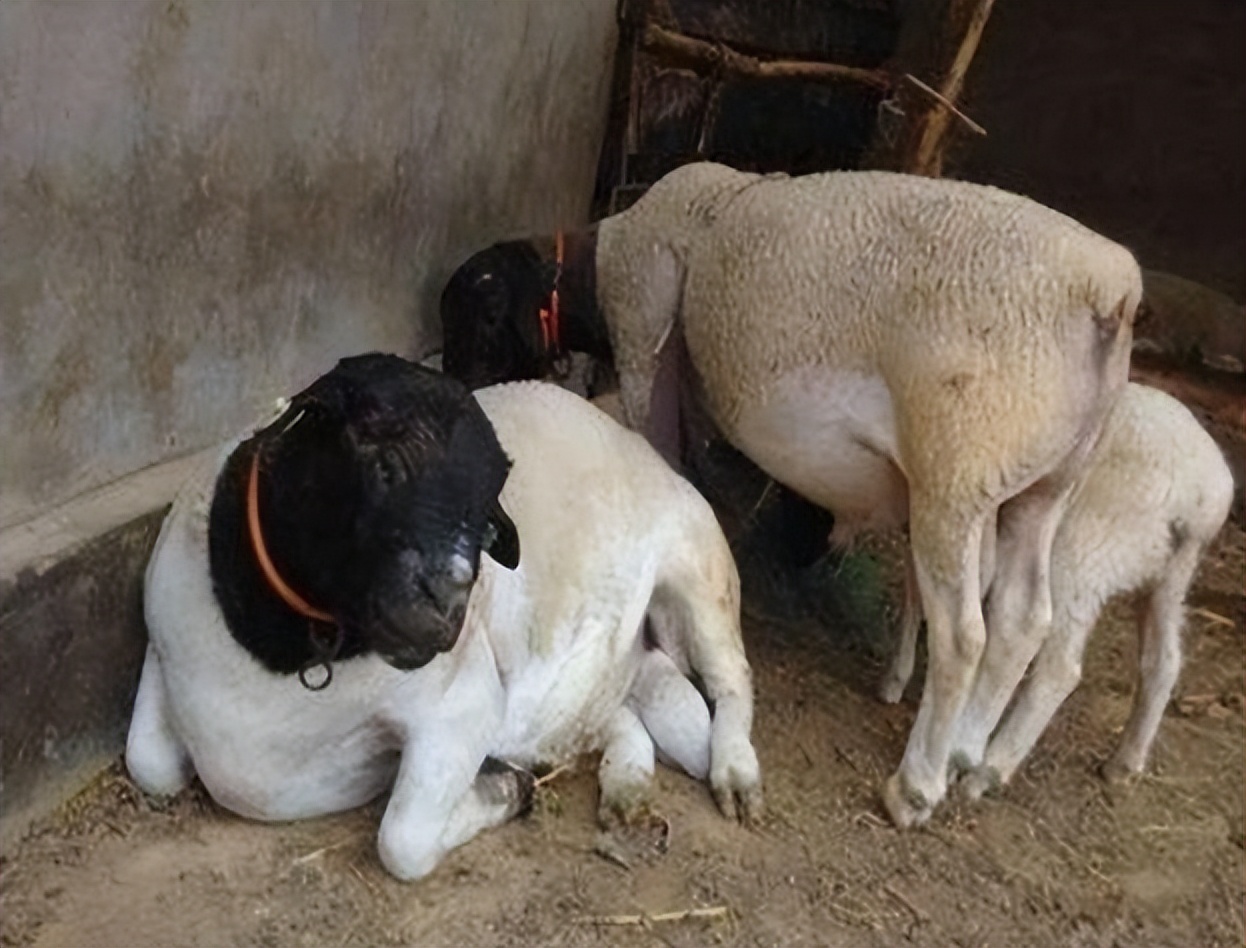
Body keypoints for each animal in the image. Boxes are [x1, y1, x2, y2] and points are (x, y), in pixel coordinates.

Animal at [126, 353, 757, 881]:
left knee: (731, 681)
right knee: (627, 710)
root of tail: (631, 436)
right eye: (382, 463)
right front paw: (511, 783)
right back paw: (626, 787)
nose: (447, 607)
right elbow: (148, 762)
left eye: (486, 516)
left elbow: (402, 841)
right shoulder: (160, 649)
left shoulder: (465, 706)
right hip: (603, 675)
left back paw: (735, 777)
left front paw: (506, 791)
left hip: (700, 566)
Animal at [443, 163, 1141, 827]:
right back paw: (973, 759)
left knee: (966, 636)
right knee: (1024, 619)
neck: (603, 257)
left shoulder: (643, 336)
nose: (465, 396)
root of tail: (1113, 288)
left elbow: (663, 454)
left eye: (484, 316)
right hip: (1045, 485)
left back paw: (917, 785)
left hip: (960, 466)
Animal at [882, 381, 1231, 797]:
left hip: (1083, 553)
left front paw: (898, 679)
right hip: (1171, 577)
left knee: (1060, 667)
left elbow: (922, 593)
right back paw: (1125, 762)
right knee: (1163, 662)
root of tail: (1204, 499)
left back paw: (990, 769)